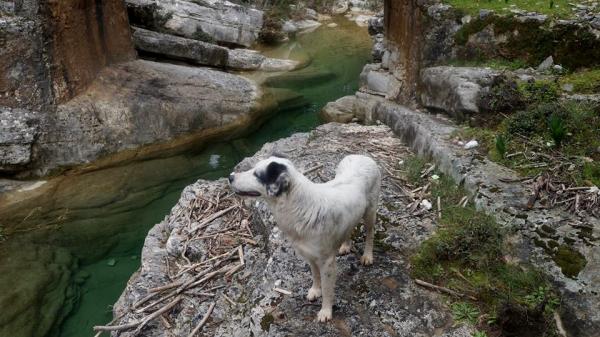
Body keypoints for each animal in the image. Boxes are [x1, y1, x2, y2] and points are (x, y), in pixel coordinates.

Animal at [230, 154, 380, 320]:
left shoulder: (327, 262)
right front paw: (315, 291)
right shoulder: (309, 255)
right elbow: (315, 275)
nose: (230, 177)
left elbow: (327, 289)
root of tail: (362, 156)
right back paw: (345, 245)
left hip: (370, 212)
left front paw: (325, 311)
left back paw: (367, 256)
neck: (301, 207)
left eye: (257, 175)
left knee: (370, 233)